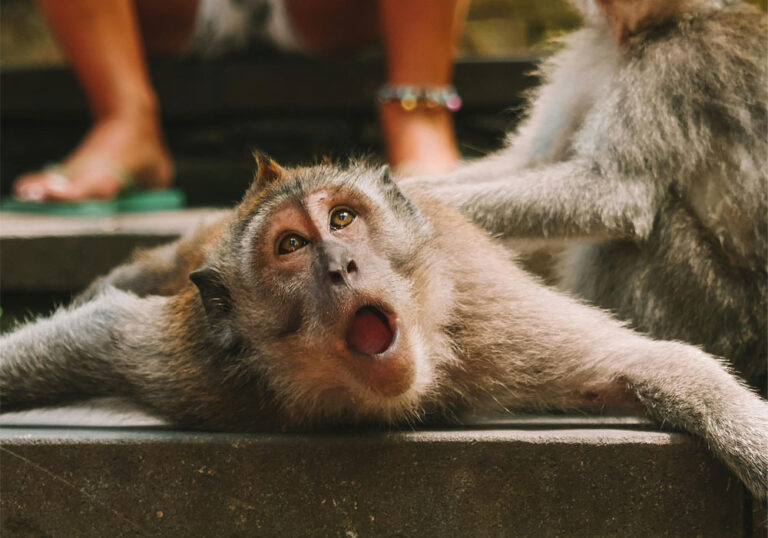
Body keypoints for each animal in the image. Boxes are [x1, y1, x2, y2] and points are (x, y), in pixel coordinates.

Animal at [1, 157, 767, 498]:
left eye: (342, 219)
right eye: (290, 245)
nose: (341, 264)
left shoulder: (483, 322)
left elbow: (650, 361)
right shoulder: (205, 371)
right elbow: (97, 333)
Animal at [403, 0, 768, 388]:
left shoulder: (671, 69)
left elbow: (612, 192)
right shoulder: (591, 53)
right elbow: (532, 160)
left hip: (723, 312)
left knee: (631, 241)